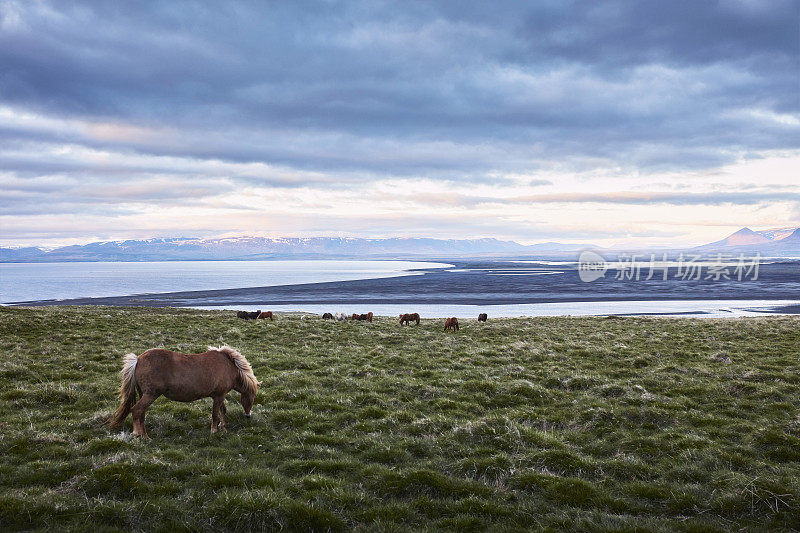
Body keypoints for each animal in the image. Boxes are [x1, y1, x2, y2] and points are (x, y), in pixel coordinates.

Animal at [108, 344, 260, 436]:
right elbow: (215, 414)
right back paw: (139, 435)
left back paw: (145, 436)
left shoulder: (219, 395)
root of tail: (138, 359)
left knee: (141, 414)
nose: (248, 416)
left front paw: (223, 427)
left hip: (143, 394)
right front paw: (214, 431)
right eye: (251, 398)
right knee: (136, 410)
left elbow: (223, 411)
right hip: (150, 395)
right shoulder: (218, 396)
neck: (229, 366)